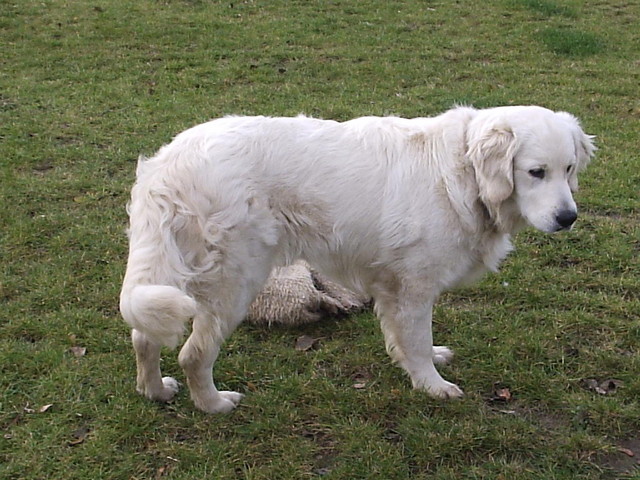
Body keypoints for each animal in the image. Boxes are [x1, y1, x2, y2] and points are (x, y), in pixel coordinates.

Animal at [120, 105, 595, 413]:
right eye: (536, 172)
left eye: (569, 169)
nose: (568, 218)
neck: (464, 172)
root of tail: (168, 166)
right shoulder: (414, 286)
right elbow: (416, 340)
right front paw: (432, 386)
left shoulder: (396, 287)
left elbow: (408, 339)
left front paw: (427, 362)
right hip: (235, 284)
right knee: (193, 354)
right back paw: (215, 405)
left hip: (174, 278)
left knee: (144, 335)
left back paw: (155, 392)